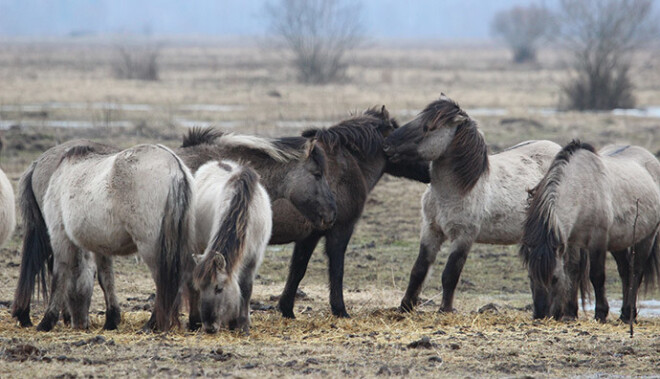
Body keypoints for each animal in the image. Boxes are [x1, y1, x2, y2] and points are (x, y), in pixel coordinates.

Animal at [13, 142, 196, 332]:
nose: (79, 324)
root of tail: (174, 165)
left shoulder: (60, 237)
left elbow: (59, 276)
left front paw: (47, 321)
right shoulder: (100, 245)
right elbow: (105, 278)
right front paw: (111, 320)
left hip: (152, 248)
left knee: (162, 281)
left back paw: (152, 324)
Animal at [192, 162, 272, 334]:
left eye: (219, 288)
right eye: (201, 288)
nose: (209, 327)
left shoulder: (253, 259)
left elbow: (246, 288)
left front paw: (242, 323)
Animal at [382, 95, 564, 314]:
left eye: (428, 127)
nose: (386, 145)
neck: (455, 191)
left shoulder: (464, 236)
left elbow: (450, 274)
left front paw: (445, 309)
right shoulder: (430, 230)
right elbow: (419, 269)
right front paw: (405, 307)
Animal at [520, 142, 660, 324]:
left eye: (555, 279)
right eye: (530, 278)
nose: (540, 315)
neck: (582, 189)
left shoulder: (597, 241)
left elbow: (596, 276)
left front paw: (600, 313)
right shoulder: (572, 241)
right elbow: (573, 272)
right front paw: (570, 313)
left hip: (646, 237)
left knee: (636, 272)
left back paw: (629, 314)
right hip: (619, 242)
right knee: (625, 272)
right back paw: (623, 314)